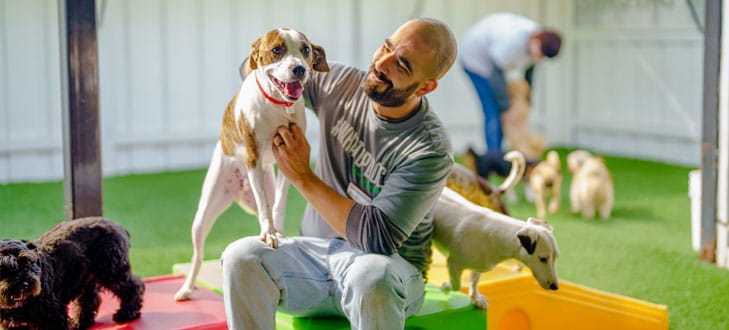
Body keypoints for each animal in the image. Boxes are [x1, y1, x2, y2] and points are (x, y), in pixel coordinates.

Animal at [0, 218, 145, 328]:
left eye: (28, 262)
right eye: (4, 268)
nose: (25, 284)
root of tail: (118, 226)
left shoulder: (54, 316)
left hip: (112, 271)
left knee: (133, 286)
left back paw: (126, 314)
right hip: (87, 278)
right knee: (90, 299)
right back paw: (81, 322)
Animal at [173, 29, 328, 302]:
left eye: (306, 49)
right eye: (277, 49)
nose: (299, 68)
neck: (277, 106)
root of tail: (240, 187)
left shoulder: (287, 158)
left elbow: (277, 205)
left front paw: (277, 231)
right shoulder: (253, 157)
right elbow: (266, 206)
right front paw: (269, 234)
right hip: (204, 213)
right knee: (197, 255)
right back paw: (187, 288)